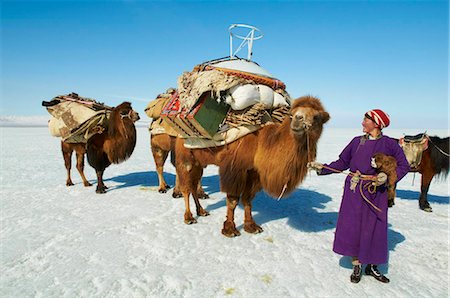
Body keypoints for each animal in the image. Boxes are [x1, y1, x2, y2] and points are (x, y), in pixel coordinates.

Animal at [174, 95, 328, 237]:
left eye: (317, 117)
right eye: (291, 114)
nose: (298, 120)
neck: (261, 142)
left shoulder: (253, 172)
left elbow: (248, 199)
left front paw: (251, 226)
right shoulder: (234, 169)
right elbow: (233, 200)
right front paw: (230, 229)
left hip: (199, 163)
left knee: (193, 185)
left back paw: (201, 211)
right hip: (185, 159)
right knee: (186, 188)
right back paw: (189, 217)